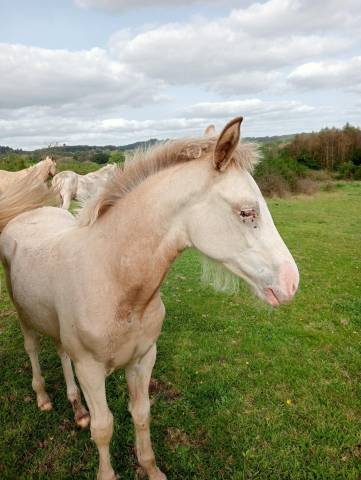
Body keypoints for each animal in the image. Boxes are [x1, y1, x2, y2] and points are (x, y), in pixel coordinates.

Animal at [0, 117, 298, 480]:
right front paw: (107, 473)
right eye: (246, 212)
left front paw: (150, 467)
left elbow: (141, 413)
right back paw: (43, 397)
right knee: (32, 349)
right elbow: (104, 427)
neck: (115, 280)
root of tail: (29, 213)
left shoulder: (143, 358)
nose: (291, 282)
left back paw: (77, 408)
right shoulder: (90, 369)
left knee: (60, 351)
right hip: (23, 314)